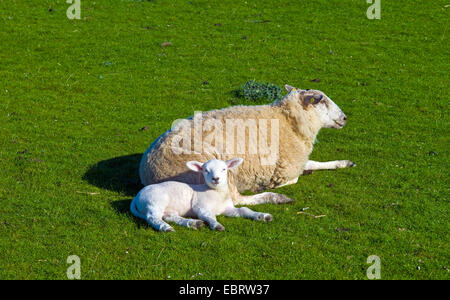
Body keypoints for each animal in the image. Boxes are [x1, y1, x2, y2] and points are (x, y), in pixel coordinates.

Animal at [128, 157, 272, 232]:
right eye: (206, 170)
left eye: (224, 169)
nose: (215, 179)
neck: (216, 194)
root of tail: (137, 197)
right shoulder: (201, 207)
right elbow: (209, 216)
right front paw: (216, 225)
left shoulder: (227, 208)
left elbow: (244, 210)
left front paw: (261, 216)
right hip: (155, 201)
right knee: (153, 218)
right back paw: (166, 228)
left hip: (168, 208)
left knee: (170, 217)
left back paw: (192, 223)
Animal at [139, 84, 356, 206]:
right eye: (322, 101)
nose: (345, 118)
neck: (288, 121)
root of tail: (148, 171)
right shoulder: (286, 168)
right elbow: (293, 179)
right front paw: (268, 185)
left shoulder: (294, 161)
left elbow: (315, 163)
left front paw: (344, 163)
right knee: (236, 201)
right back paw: (273, 196)